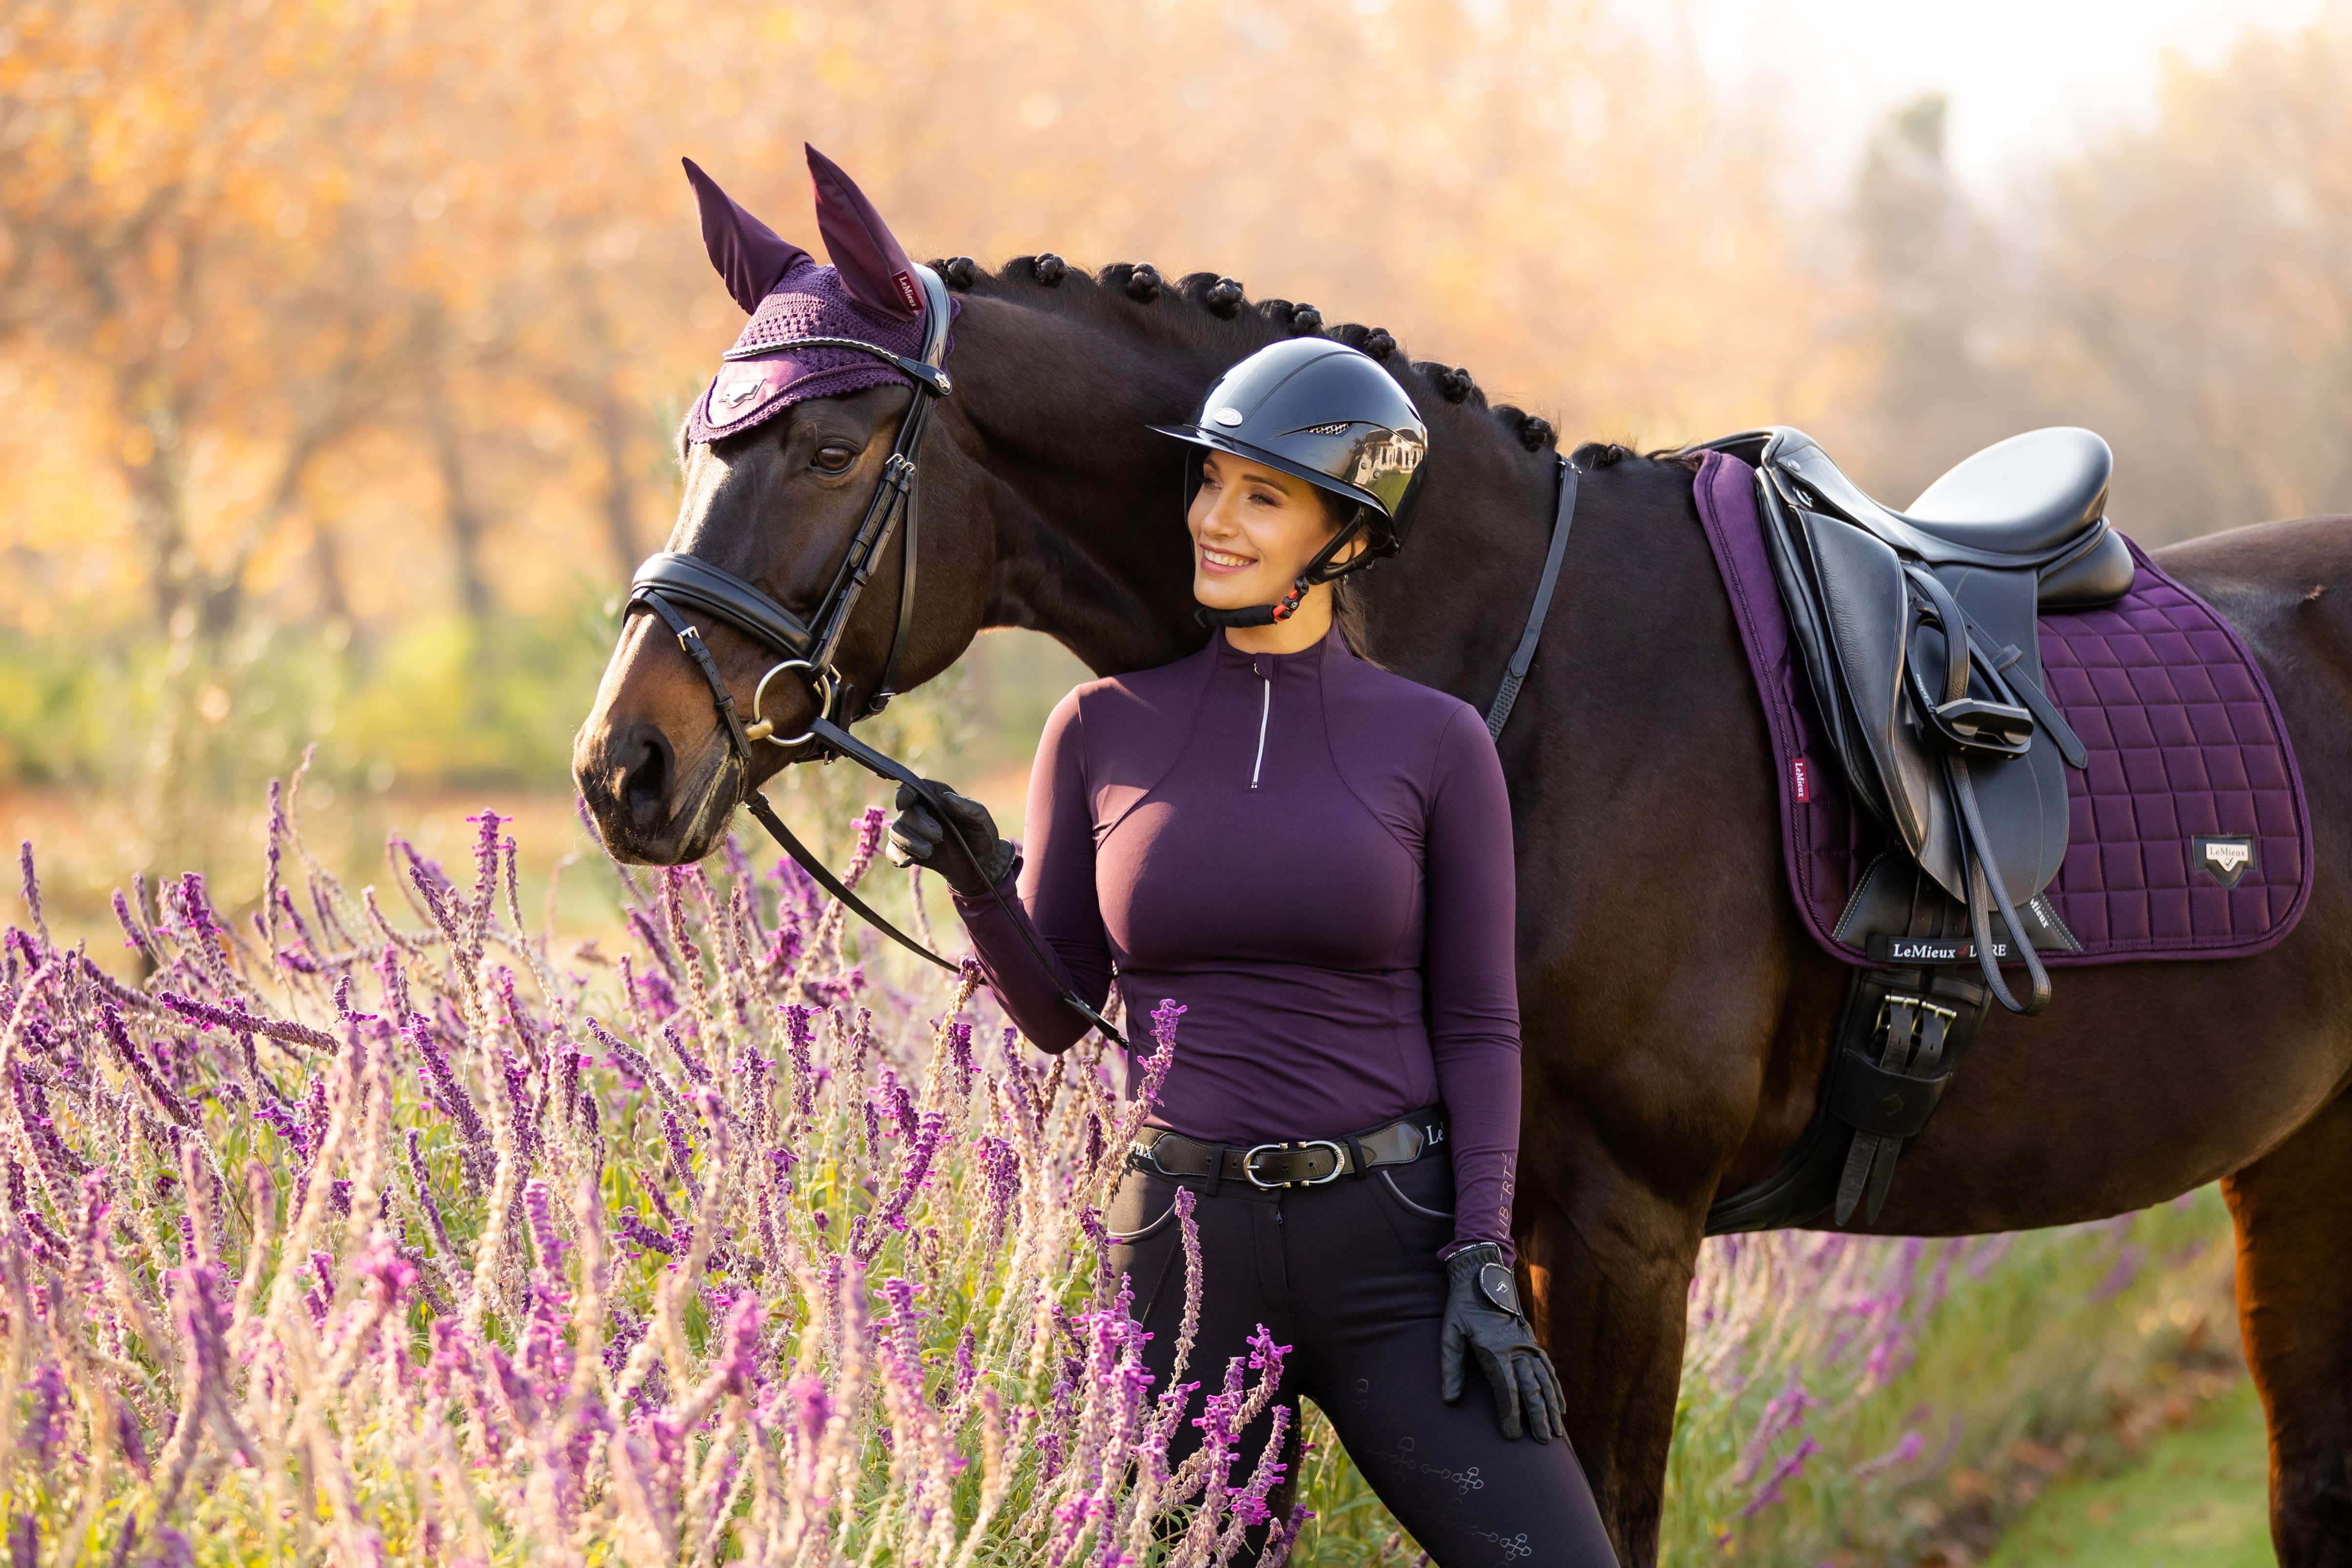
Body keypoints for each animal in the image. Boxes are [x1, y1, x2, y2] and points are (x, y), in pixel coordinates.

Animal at [578, 208, 2352, 1561]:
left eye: (824, 445)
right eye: (693, 446)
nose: (623, 764)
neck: (1530, 669)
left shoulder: (1624, 1227)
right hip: (2297, 1155)